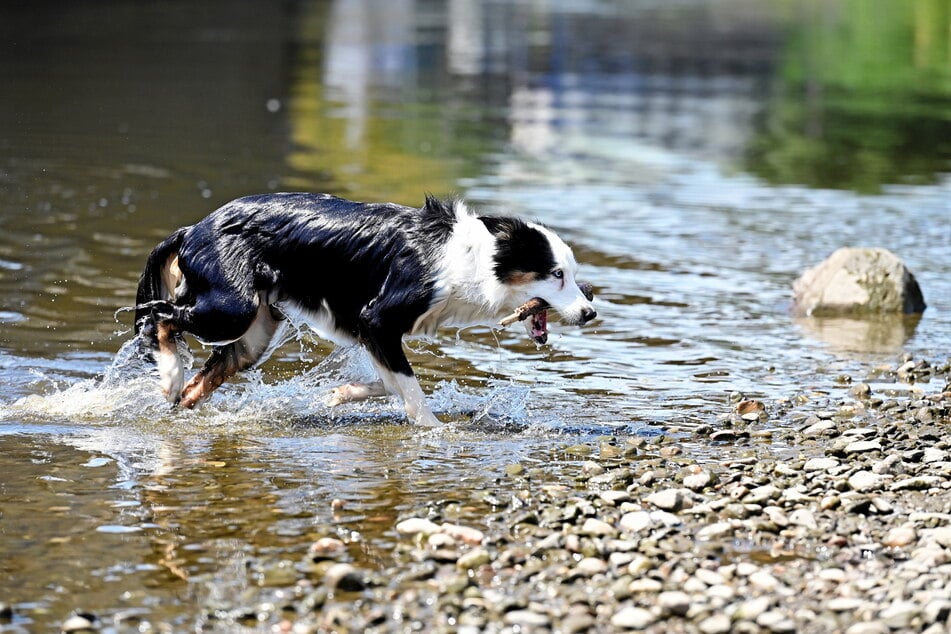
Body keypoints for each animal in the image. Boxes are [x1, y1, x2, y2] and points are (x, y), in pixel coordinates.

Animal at [134, 190, 596, 422]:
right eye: (557, 274)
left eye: (572, 274)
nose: (590, 313)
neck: (475, 259)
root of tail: (193, 228)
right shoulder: (377, 320)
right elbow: (410, 390)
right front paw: (433, 431)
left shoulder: (374, 334)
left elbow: (391, 382)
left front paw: (339, 395)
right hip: (232, 307)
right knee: (160, 317)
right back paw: (169, 378)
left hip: (255, 333)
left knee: (204, 378)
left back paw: (181, 404)